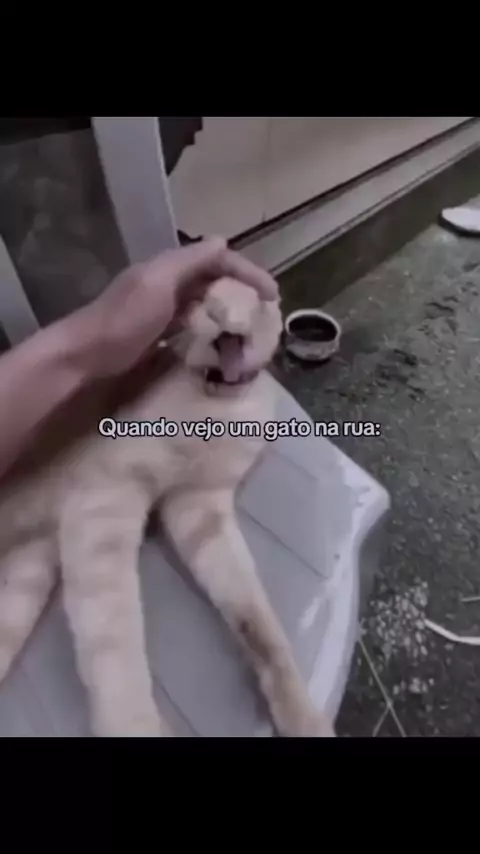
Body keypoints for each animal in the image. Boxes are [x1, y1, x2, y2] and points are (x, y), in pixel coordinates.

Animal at [0, 276, 335, 737]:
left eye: (244, 297)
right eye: (199, 300)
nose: (220, 316)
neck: (221, 408)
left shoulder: (198, 508)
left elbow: (256, 620)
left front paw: (300, 713)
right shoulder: (105, 502)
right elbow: (115, 643)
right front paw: (137, 725)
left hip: (25, 582)